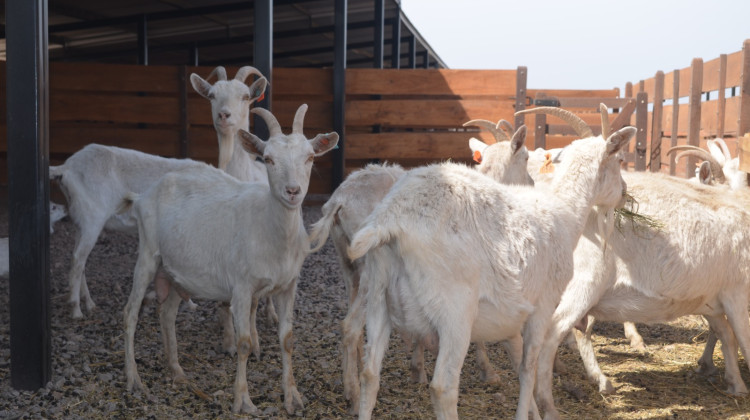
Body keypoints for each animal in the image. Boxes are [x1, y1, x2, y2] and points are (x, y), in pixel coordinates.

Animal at [122, 104, 340, 414]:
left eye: (310, 157)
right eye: (268, 159)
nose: (293, 191)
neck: (270, 230)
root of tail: (143, 196)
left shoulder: (288, 286)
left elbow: (287, 340)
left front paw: (293, 397)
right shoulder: (242, 287)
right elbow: (244, 343)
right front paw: (243, 400)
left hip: (175, 270)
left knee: (167, 314)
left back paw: (177, 372)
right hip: (148, 254)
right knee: (130, 313)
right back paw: (134, 380)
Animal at [346, 126, 636, 420]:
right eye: (620, 160)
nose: (625, 192)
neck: (565, 214)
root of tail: (390, 221)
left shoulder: (510, 318)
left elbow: (518, 363)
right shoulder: (543, 306)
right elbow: (528, 369)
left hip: (378, 296)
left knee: (370, 374)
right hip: (454, 311)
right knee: (443, 386)